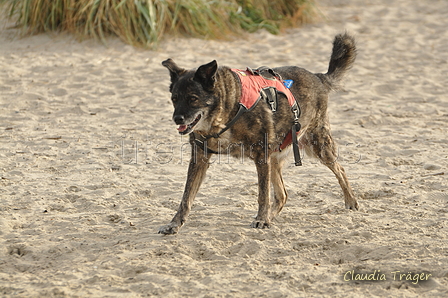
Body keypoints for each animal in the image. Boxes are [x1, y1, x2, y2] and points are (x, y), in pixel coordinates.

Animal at [159, 32, 358, 233]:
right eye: (174, 99)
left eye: (193, 99)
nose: (177, 119)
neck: (228, 109)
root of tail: (318, 77)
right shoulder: (200, 158)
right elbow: (186, 197)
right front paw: (174, 223)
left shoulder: (261, 156)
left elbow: (263, 194)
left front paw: (262, 219)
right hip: (275, 156)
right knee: (282, 195)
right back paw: (272, 216)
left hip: (317, 145)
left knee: (339, 169)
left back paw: (350, 201)